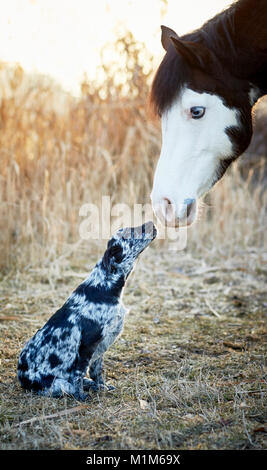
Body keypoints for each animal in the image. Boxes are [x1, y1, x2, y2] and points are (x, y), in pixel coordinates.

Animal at [16, 220, 157, 400]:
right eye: (129, 233)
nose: (151, 222)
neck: (104, 287)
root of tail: (22, 380)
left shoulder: (102, 345)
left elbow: (96, 371)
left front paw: (102, 387)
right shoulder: (88, 344)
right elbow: (79, 373)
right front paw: (81, 396)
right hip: (59, 384)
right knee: (69, 385)